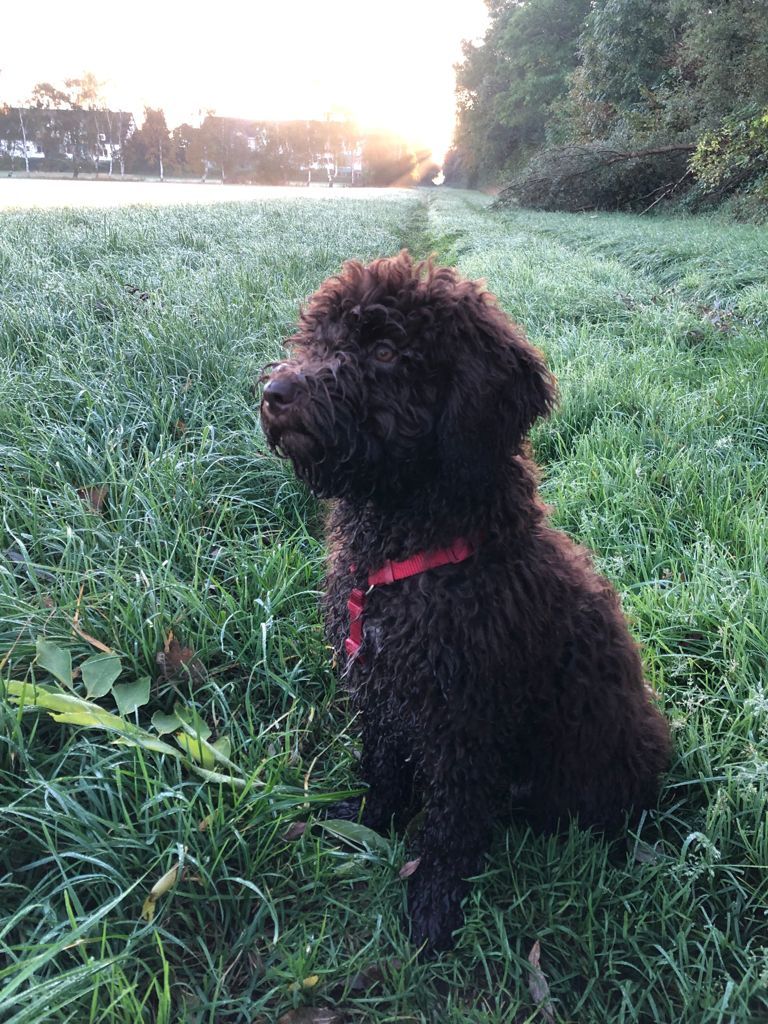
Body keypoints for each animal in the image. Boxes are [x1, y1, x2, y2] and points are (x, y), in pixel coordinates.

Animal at [260, 251, 671, 951]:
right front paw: (368, 818)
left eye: (388, 350)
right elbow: (382, 765)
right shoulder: (382, 686)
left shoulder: (465, 716)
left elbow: (452, 818)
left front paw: (434, 899)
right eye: (318, 339)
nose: (275, 393)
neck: (415, 555)